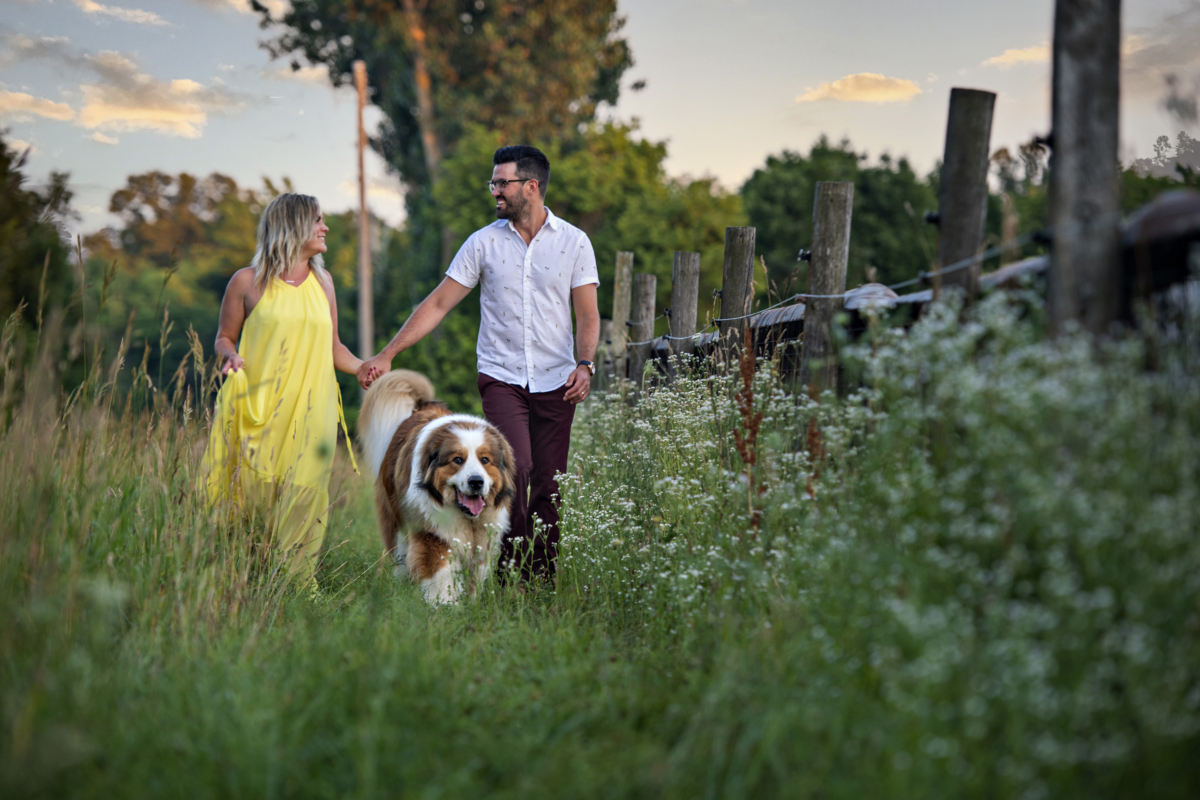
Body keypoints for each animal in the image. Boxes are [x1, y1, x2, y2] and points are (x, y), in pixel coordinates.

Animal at [355, 371, 516, 604]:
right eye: (457, 460)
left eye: (485, 460)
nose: (476, 482)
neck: (466, 519)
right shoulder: (433, 534)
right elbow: (441, 576)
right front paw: (445, 606)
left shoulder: (481, 540)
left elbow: (474, 576)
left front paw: (471, 604)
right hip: (397, 523)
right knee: (400, 556)